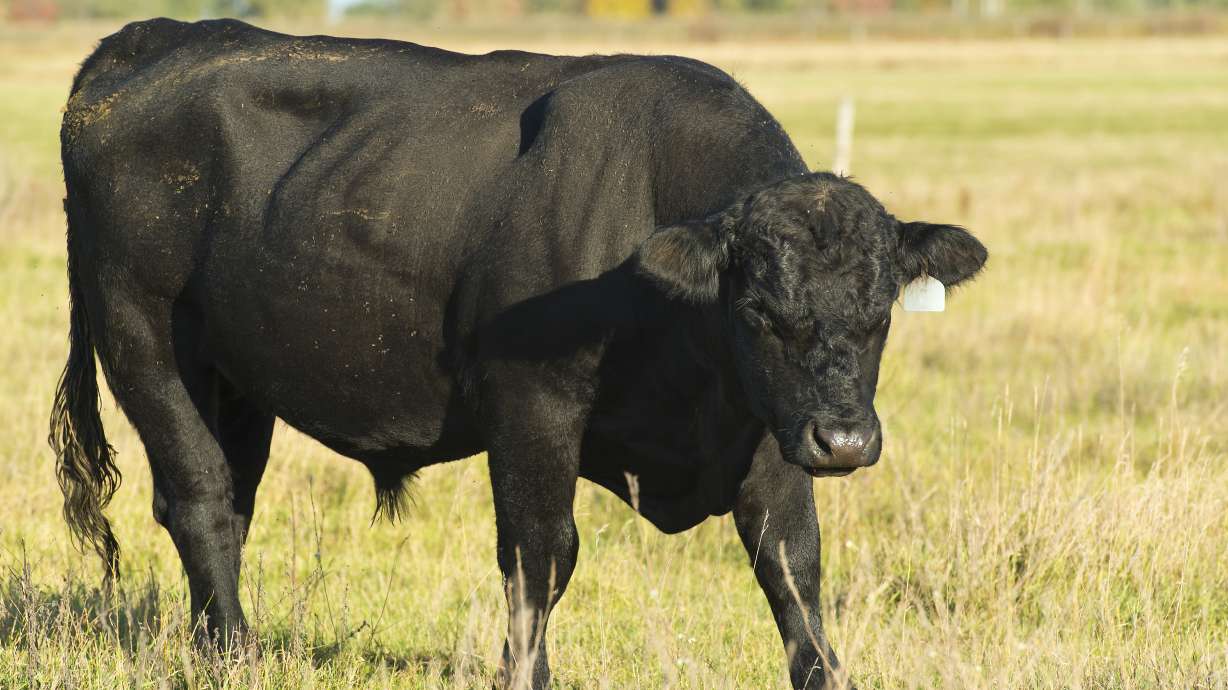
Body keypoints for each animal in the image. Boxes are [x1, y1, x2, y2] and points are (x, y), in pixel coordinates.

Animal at [51, 18, 986, 689]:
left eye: (880, 315)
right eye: (757, 311)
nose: (846, 442)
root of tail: (148, 40)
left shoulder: (766, 430)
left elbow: (791, 566)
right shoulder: (531, 404)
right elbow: (540, 555)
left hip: (236, 377)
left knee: (233, 501)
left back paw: (218, 643)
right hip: (143, 341)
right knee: (200, 499)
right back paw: (235, 657)